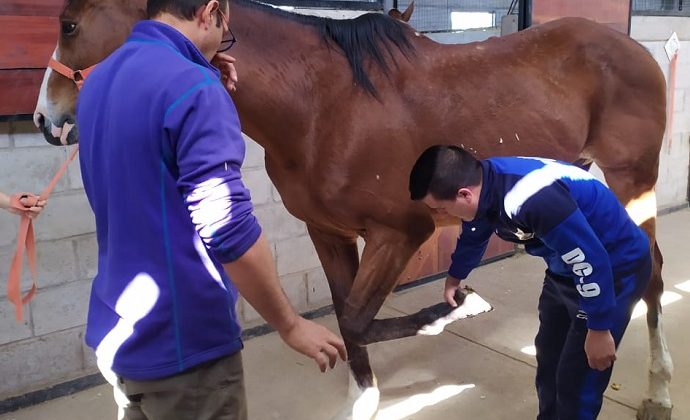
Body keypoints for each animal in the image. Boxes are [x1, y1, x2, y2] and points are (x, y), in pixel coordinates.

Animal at [33, 1, 672, 418]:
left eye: (69, 24)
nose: (45, 118)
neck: (323, 105)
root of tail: (633, 47)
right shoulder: (329, 232)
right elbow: (346, 316)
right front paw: (363, 398)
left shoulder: (400, 231)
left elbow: (361, 319)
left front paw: (460, 308)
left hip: (632, 180)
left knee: (651, 272)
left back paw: (659, 390)